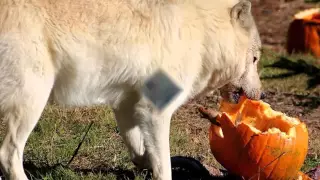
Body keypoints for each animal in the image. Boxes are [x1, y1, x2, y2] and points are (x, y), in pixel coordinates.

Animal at [0, 0, 262, 179]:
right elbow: (164, 165)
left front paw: (145, 162)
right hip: (33, 100)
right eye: (256, 59)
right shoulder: (156, 111)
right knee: (8, 154)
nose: (263, 94)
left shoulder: (126, 105)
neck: (203, 31)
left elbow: (139, 150)